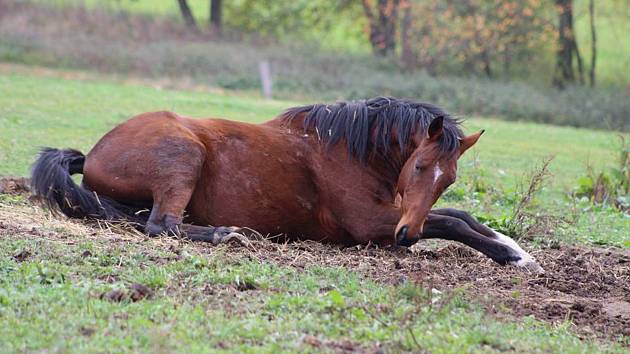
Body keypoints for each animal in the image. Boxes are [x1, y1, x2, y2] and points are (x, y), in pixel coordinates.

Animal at [29, 97, 544, 272]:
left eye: (448, 178)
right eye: (419, 167)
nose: (407, 238)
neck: (350, 149)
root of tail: (91, 153)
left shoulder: (398, 215)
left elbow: (459, 214)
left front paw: (515, 247)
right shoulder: (374, 225)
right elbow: (451, 223)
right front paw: (511, 256)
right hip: (183, 157)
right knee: (162, 225)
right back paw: (226, 234)